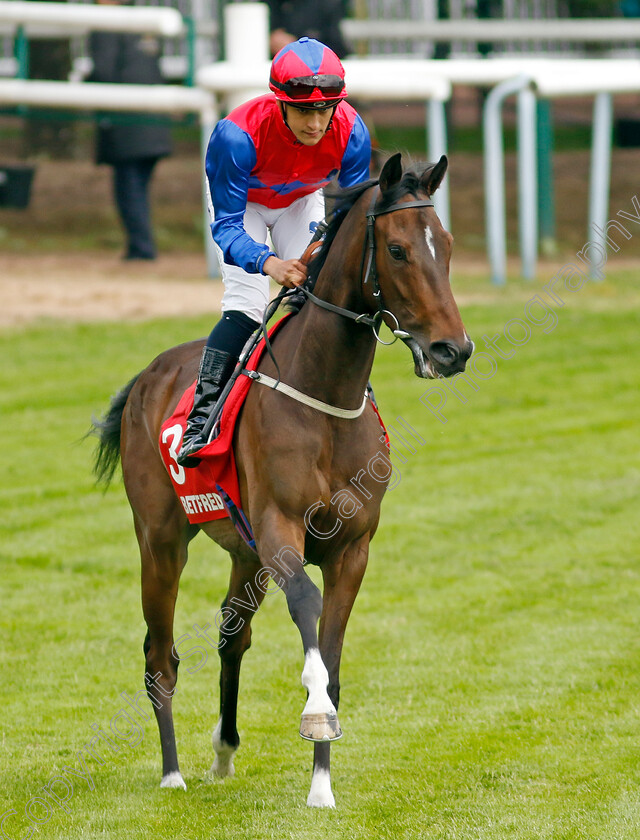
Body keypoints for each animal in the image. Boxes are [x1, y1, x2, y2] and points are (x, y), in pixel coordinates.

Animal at [94, 154, 476, 812]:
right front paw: (316, 716)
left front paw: (322, 784)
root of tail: (146, 376)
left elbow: (333, 650)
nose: (454, 350)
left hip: (243, 553)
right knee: (159, 655)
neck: (325, 398)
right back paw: (172, 772)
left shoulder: (352, 548)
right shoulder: (280, 532)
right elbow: (308, 614)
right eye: (398, 249)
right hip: (162, 540)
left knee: (231, 634)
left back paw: (223, 752)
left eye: (447, 245)